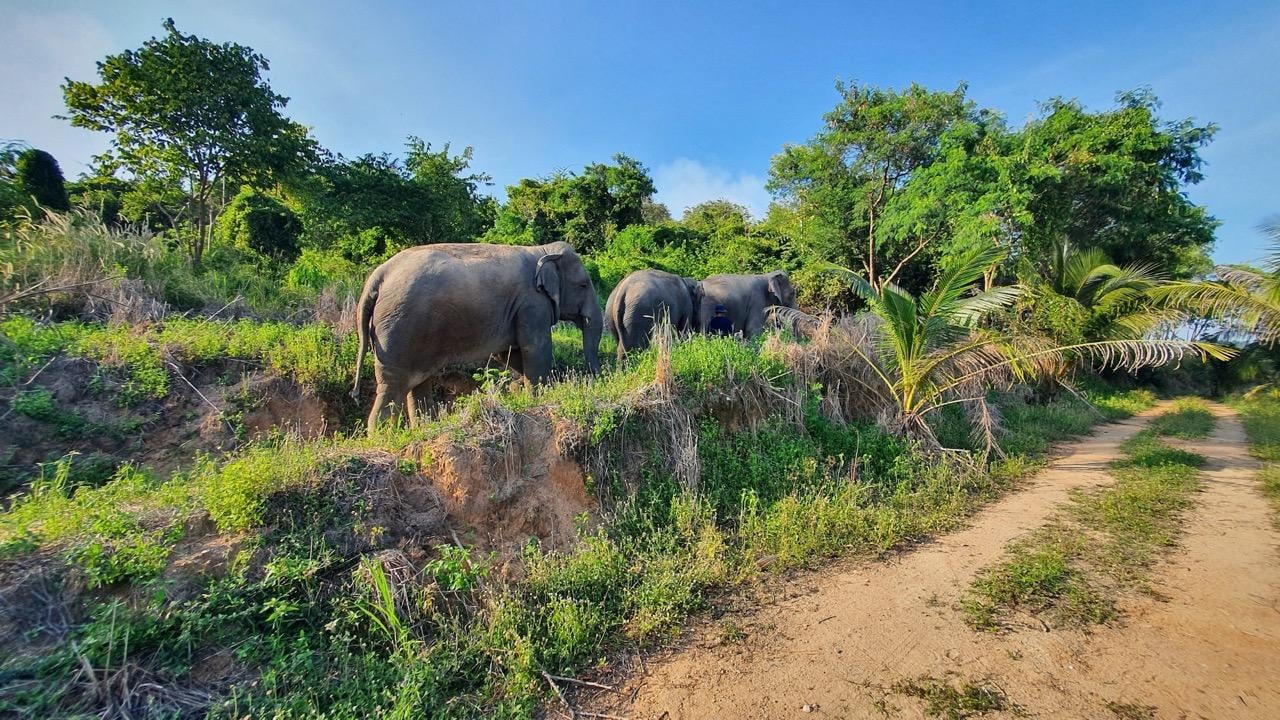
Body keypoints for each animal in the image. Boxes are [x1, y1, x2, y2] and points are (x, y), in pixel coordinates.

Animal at [351, 241, 603, 432]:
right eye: (583, 285)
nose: (597, 379)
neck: (542, 251)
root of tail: (378, 276)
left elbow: (509, 353)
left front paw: (524, 389)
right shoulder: (532, 304)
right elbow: (535, 348)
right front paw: (539, 395)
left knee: (416, 383)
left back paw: (423, 428)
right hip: (398, 330)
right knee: (392, 386)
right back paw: (383, 435)